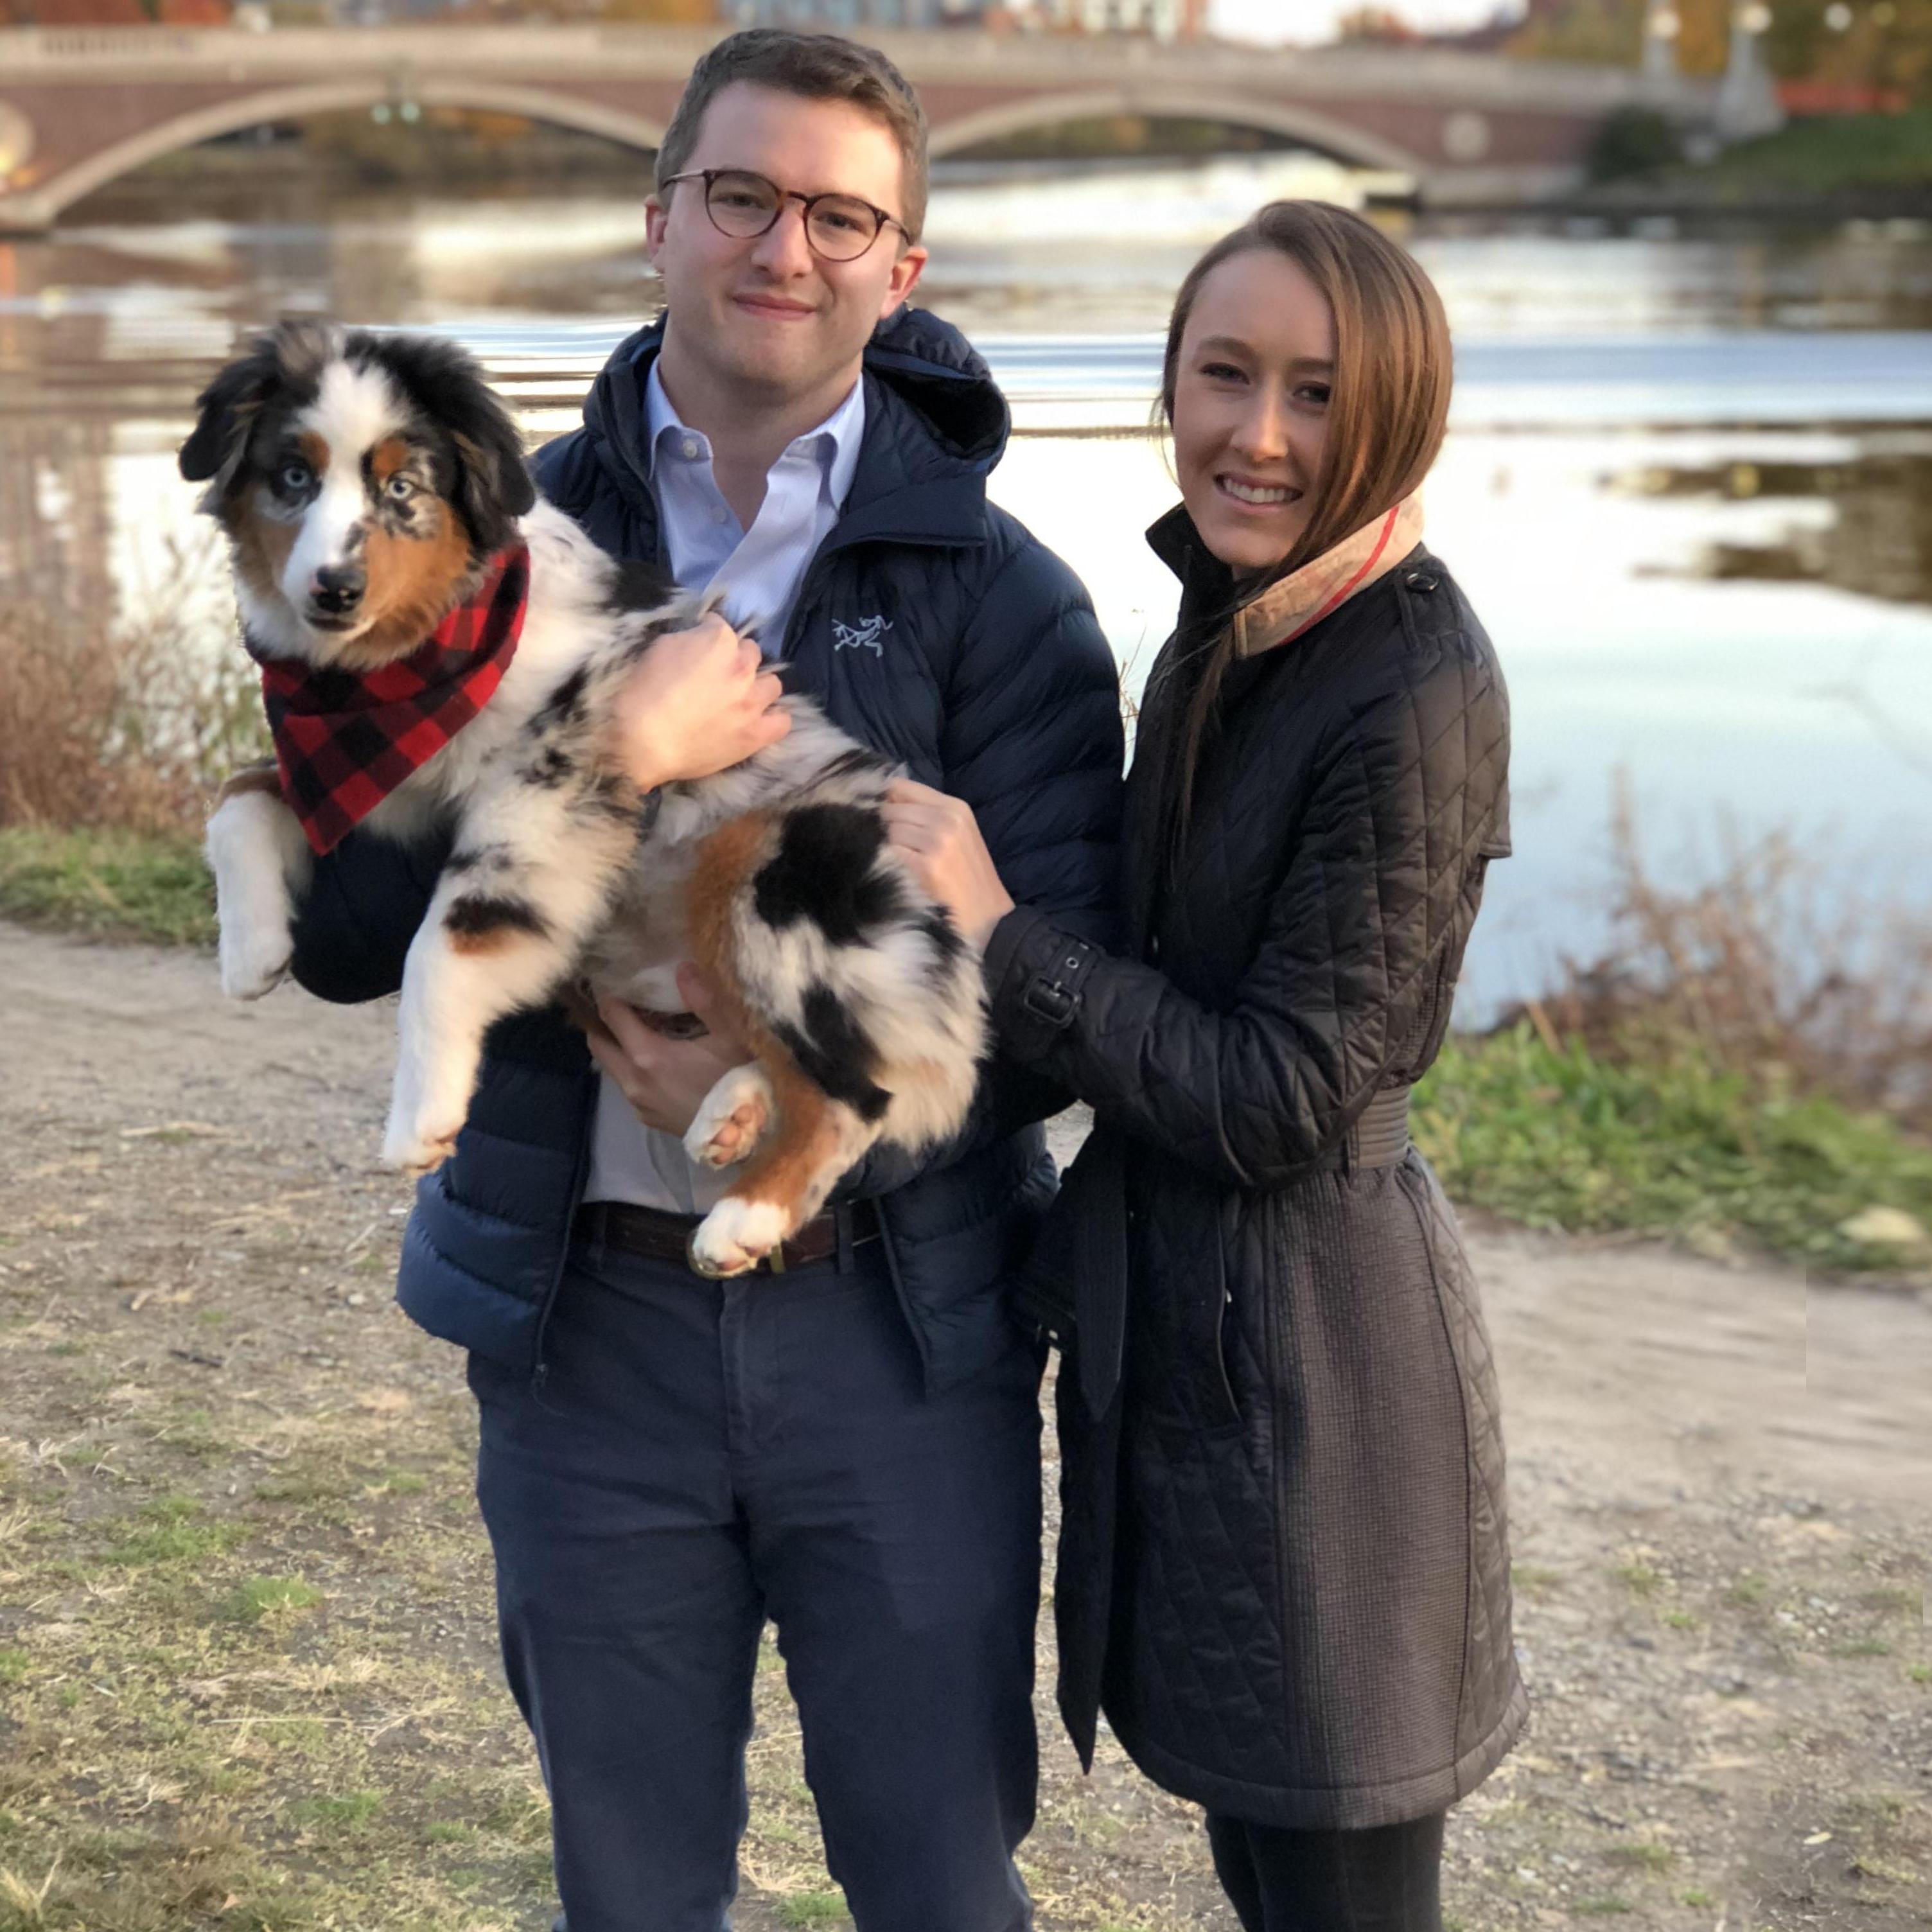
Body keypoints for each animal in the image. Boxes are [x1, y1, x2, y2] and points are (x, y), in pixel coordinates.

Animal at [188, 322, 989, 1275]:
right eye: (292, 477)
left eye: (401, 488)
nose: (333, 588)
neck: (416, 651)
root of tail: (939, 946)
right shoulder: (393, 793)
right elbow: (239, 793)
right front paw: (252, 947)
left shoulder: (548, 782)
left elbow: (441, 945)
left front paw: (422, 1116)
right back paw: (732, 1112)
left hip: (769, 863)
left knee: (855, 1091)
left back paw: (745, 1215)